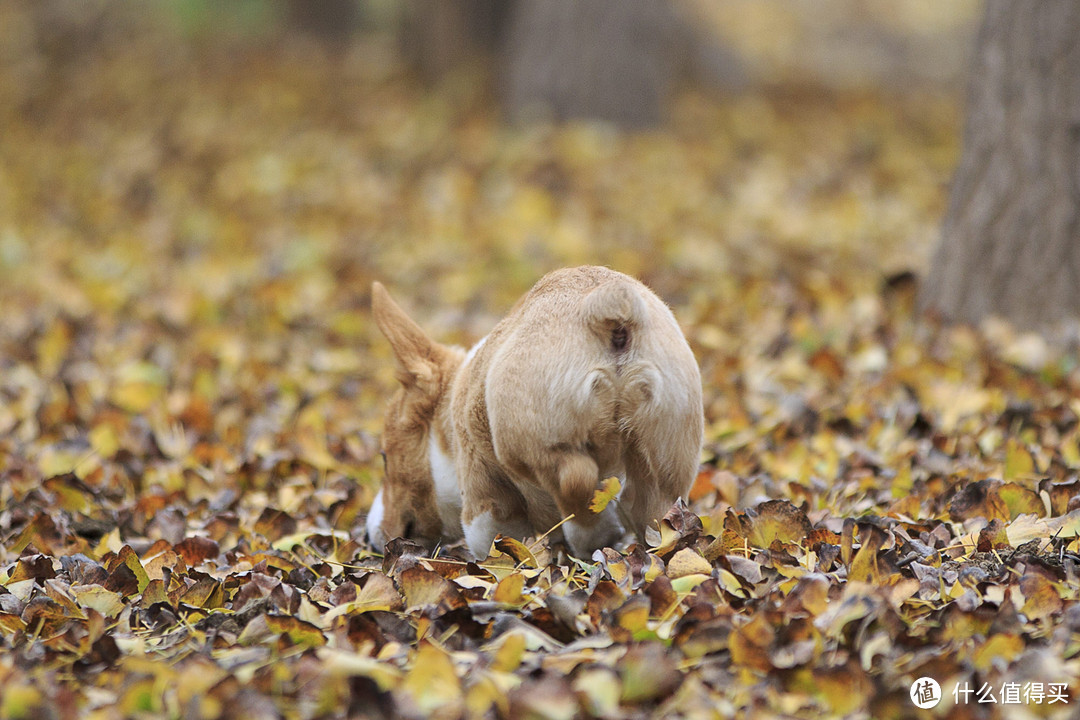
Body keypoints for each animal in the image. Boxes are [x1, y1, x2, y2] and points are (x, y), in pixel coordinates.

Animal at [367, 264, 704, 557]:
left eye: (384, 458)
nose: (369, 537)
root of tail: (600, 305)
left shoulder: (483, 493)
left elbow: (491, 537)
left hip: (525, 446)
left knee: (576, 484)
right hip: (665, 462)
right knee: (655, 516)